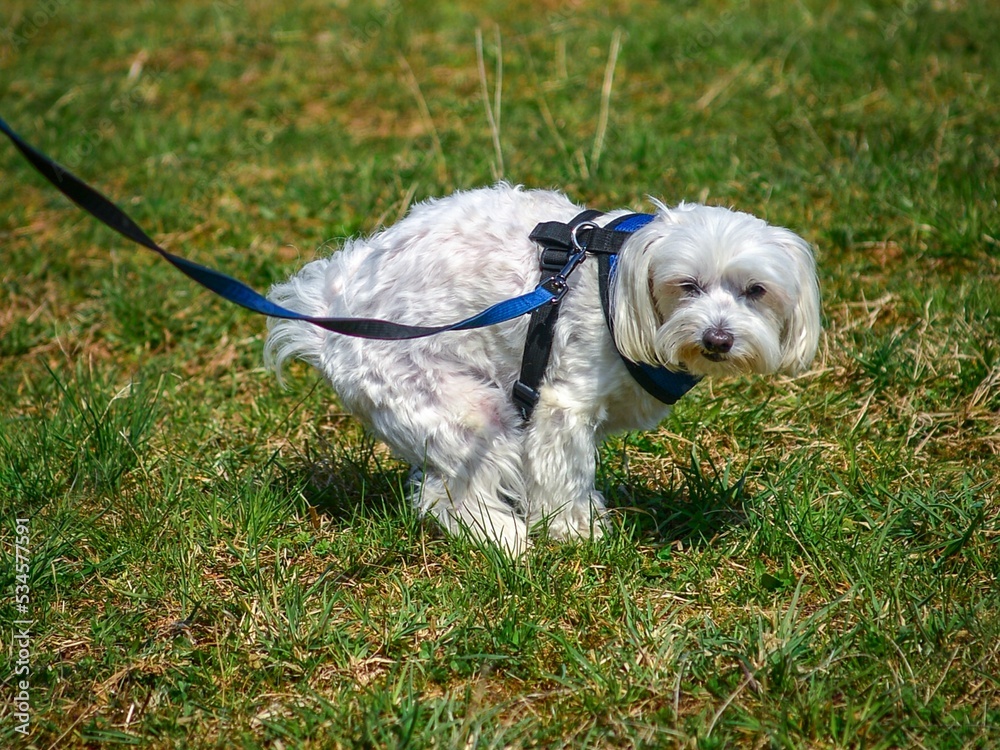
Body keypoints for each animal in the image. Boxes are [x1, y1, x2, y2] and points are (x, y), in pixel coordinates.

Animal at [268, 185, 820, 556]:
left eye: (756, 290)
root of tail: (330, 316)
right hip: (468, 412)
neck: (617, 277)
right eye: (687, 285)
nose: (717, 339)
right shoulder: (562, 406)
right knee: (451, 497)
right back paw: (505, 539)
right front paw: (578, 532)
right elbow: (565, 474)